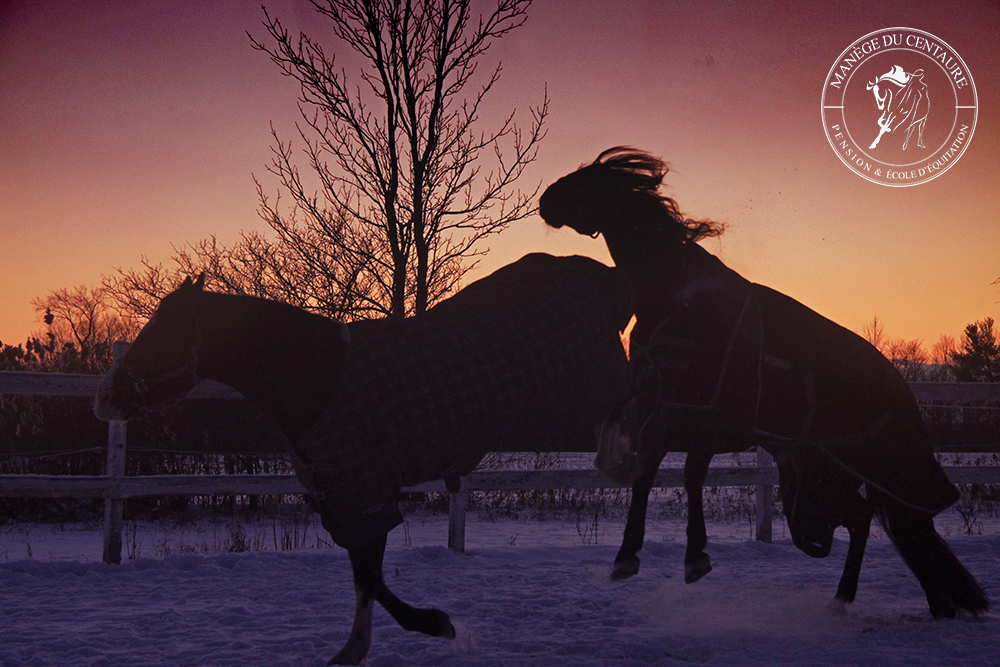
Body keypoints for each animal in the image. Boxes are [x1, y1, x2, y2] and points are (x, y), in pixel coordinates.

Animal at [90, 253, 628, 664]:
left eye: (164, 336)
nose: (104, 398)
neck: (319, 377)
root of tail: (591, 268)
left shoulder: (364, 490)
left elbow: (370, 576)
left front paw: (423, 627)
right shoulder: (339, 494)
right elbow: (365, 576)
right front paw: (417, 628)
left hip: (595, 393)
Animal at [536, 147, 988, 620]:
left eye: (592, 179)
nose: (547, 200)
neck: (676, 300)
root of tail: (901, 390)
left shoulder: (699, 418)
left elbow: (680, 476)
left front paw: (682, 558)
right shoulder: (670, 414)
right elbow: (658, 473)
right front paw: (641, 558)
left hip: (830, 481)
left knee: (871, 520)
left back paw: (852, 598)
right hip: (819, 478)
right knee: (876, 521)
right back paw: (919, 602)